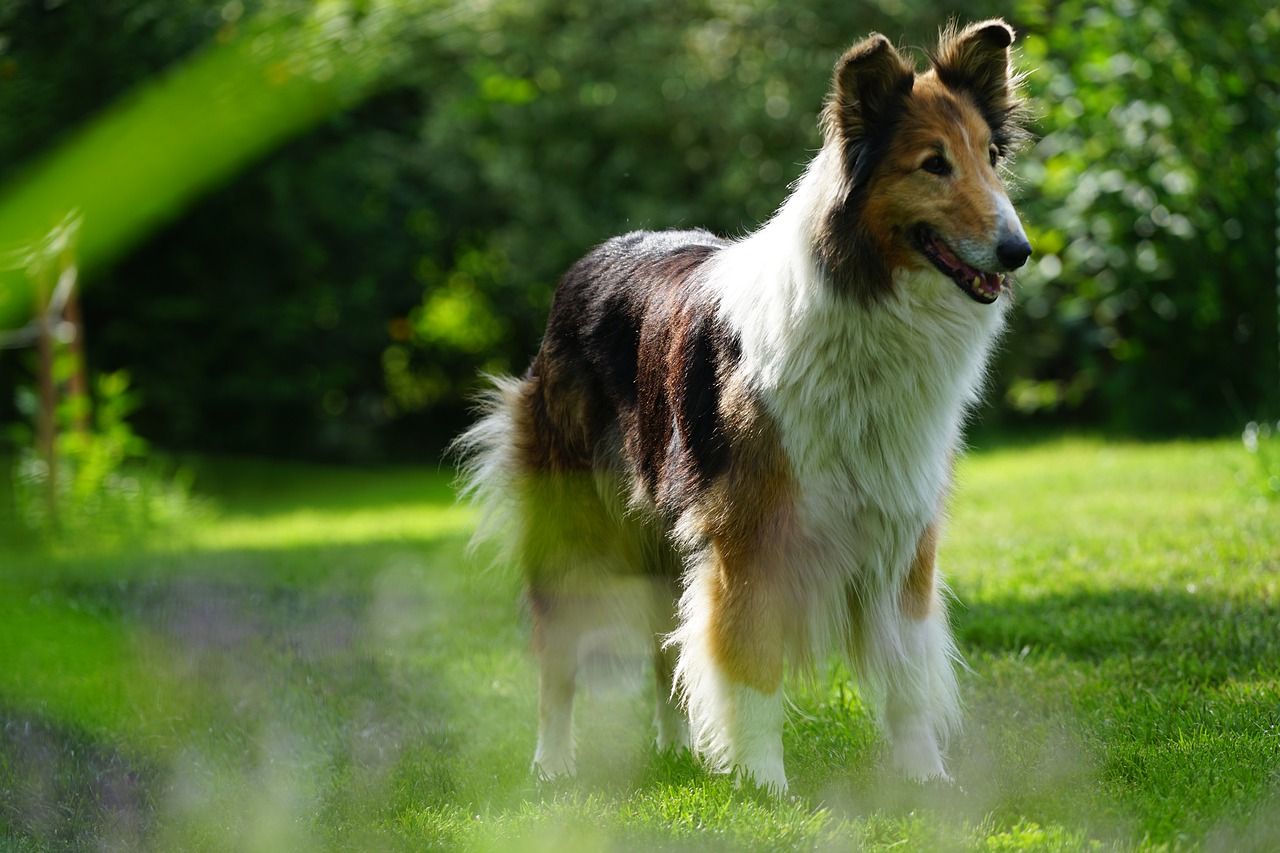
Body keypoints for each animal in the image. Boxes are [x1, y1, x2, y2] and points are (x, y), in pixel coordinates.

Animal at [455, 19, 1034, 788]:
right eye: (933, 164)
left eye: (990, 157)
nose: (1018, 250)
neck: (867, 311)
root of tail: (594, 255)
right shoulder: (755, 537)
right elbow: (752, 665)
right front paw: (766, 785)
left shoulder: (901, 535)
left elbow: (908, 679)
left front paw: (929, 783)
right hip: (574, 532)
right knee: (560, 658)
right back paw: (553, 764)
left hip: (663, 532)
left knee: (665, 645)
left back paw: (676, 749)